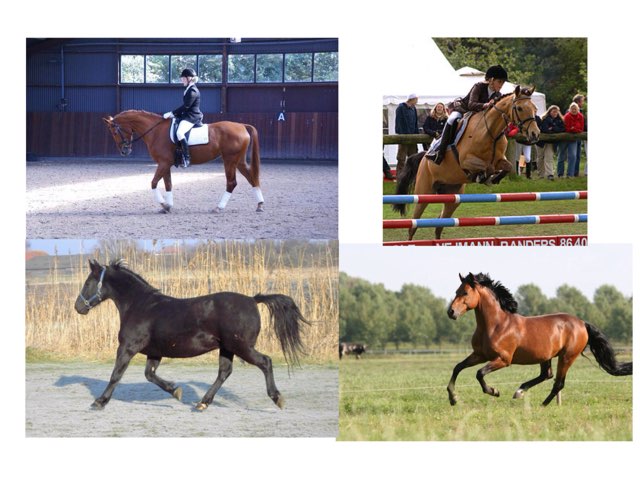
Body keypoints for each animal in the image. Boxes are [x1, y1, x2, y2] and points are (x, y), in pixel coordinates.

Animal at [74, 259, 308, 411]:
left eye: (87, 283)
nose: (78, 307)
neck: (140, 306)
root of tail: (253, 299)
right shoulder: (154, 352)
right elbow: (150, 375)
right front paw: (175, 390)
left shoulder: (127, 347)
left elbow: (116, 375)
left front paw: (99, 402)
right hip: (227, 348)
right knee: (224, 372)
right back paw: (202, 403)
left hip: (242, 347)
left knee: (265, 362)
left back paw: (277, 398)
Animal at [102, 110, 264, 213]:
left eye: (115, 132)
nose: (124, 151)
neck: (155, 131)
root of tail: (242, 126)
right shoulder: (165, 164)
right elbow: (168, 184)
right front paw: (168, 206)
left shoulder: (163, 163)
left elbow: (153, 183)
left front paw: (163, 204)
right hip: (239, 161)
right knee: (252, 179)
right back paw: (260, 205)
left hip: (229, 160)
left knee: (231, 183)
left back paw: (219, 207)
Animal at [393, 86, 540, 241]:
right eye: (519, 108)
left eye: (535, 108)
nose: (535, 134)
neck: (490, 132)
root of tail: (424, 159)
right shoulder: (466, 161)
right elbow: (487, 167)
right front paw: (483, 177)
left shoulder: (500, 160)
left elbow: (508, 166)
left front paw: (493, 178)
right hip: (424, 194)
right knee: (413, 225)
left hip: (453, 198)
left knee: (439, 224)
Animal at [446, 273, 632, 406]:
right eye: (456, 291)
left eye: (465, 292)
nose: (451, 312)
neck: (496, 325)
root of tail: (582, 323)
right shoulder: (480, 355)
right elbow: (457, 367)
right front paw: (453, 398)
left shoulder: (503, 359)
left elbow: (479, 373)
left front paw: (494, 391)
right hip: (546, 356)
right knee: (547, 375)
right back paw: (520, 392)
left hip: (567, 357)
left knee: (558, 383)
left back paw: (542, 404)